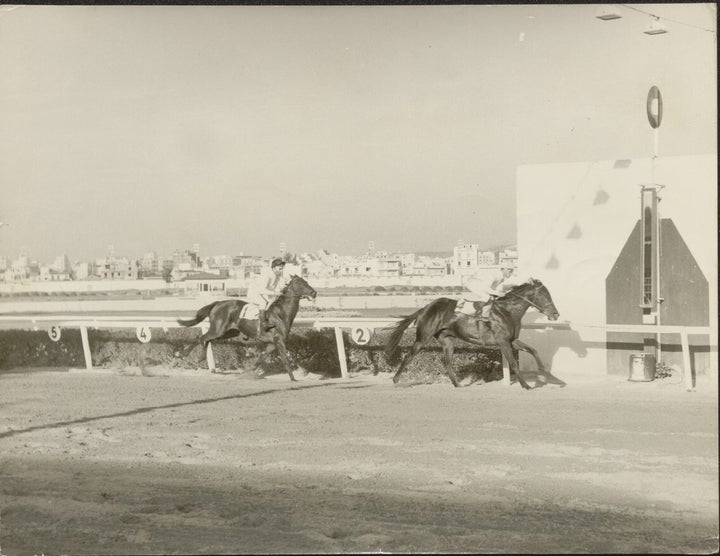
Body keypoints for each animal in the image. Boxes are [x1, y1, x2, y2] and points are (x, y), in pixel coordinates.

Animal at [176, 274, 316, 380]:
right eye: (299, 282)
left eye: (306, 281)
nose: (314, 293)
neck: (281, 313)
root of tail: (217, 303)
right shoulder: (279, 340)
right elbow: (285, 359)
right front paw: (293, 379)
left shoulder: (272, 343)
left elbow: (261, 358)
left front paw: (249, 372)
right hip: (218, 329)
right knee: (201, 337)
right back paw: (184, 354)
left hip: (229, 332)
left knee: (207, 339)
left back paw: (201, 357)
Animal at [386, 280, 564, 388]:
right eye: (543, 295)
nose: (555, 314)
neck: (507, 311)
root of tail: (425, 308)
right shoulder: (503, 341)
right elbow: (513, 363)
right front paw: (526, 385)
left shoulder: (512, 340)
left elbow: (533, 350)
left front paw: (543, 372)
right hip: (423, 337)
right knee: (409, 356)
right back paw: (395, 380)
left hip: (448, 341)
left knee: (447, 362)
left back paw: (457, 384)